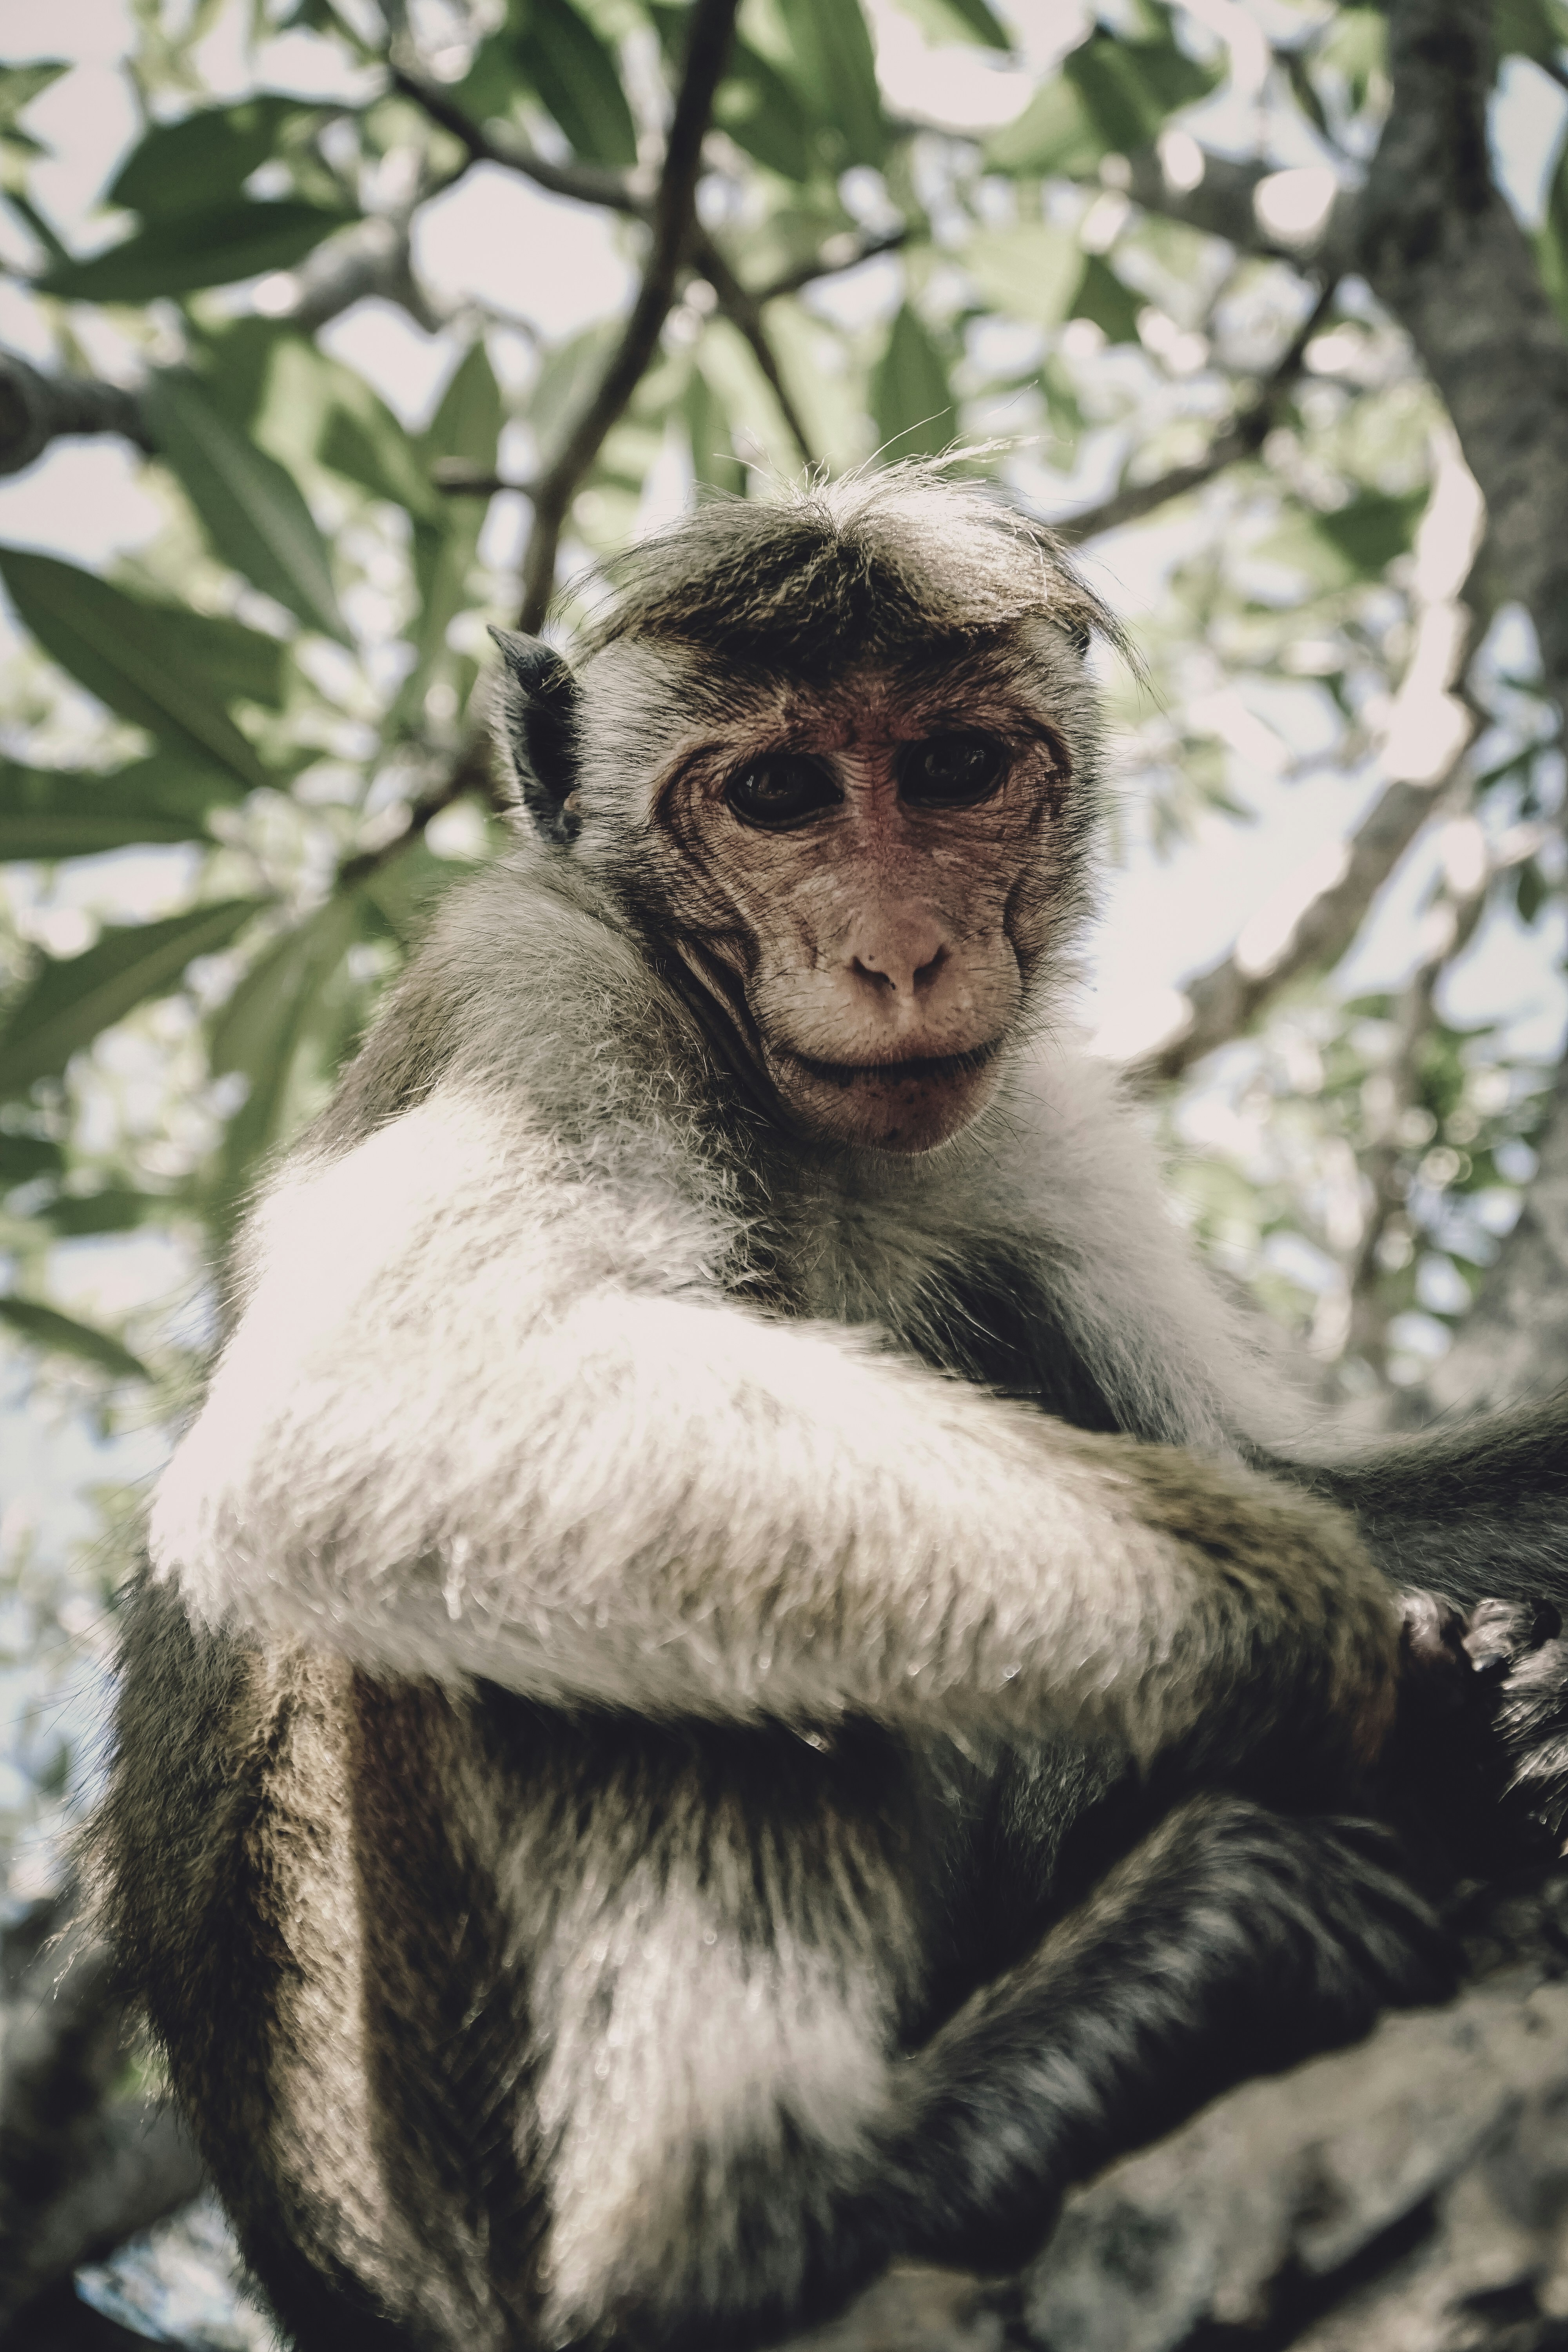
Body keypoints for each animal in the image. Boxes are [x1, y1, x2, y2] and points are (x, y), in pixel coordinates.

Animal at [98, 469, 1568, 2352]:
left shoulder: (1025, 1114)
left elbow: (1268, 1473)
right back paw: (785, 2192)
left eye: (949, 768)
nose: (901, 954)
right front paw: (1349, 1659)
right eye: (777, 795)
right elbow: (397, 1386)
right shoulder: (528, 983)